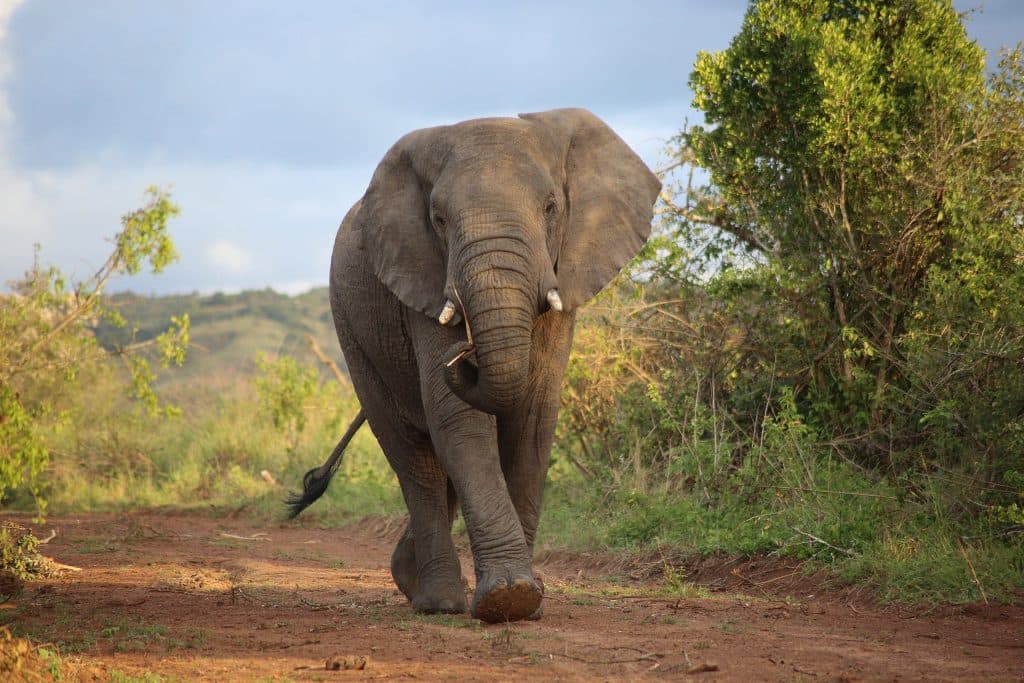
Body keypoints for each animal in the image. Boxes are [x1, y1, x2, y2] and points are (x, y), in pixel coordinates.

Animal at [287, 108, 660, 623]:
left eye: (550, 207)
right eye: (439, 219)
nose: (465, 355)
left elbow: (533, 419)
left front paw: (524, 601)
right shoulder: (421, 275)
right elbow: (460, 420)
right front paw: (509, 597)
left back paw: (419, 581)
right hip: (352, 332)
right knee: (413, 457)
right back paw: (439, 602)